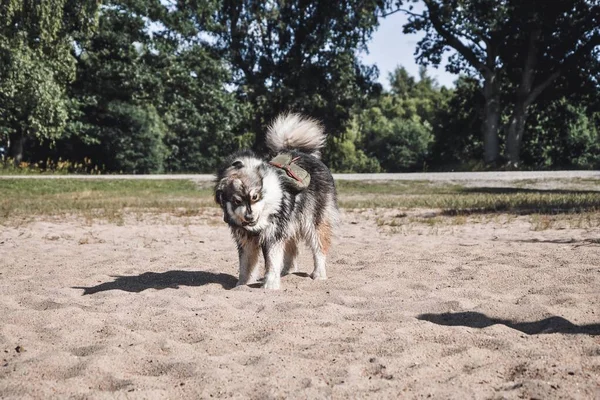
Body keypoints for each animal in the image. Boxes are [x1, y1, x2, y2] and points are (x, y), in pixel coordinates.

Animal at [214, 114, 338, 290]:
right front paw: (242, 285)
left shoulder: (273, 234)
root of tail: (302, 153)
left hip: (312, 221)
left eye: (255, 197)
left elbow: (272, 260)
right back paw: (287, 271)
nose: (249, 217)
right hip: (291, 222)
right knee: (292, 249)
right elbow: (245, 265)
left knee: (319, 246)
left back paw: (319, 274)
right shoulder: (246, 240)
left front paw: (270, 284)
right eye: (236, 201)